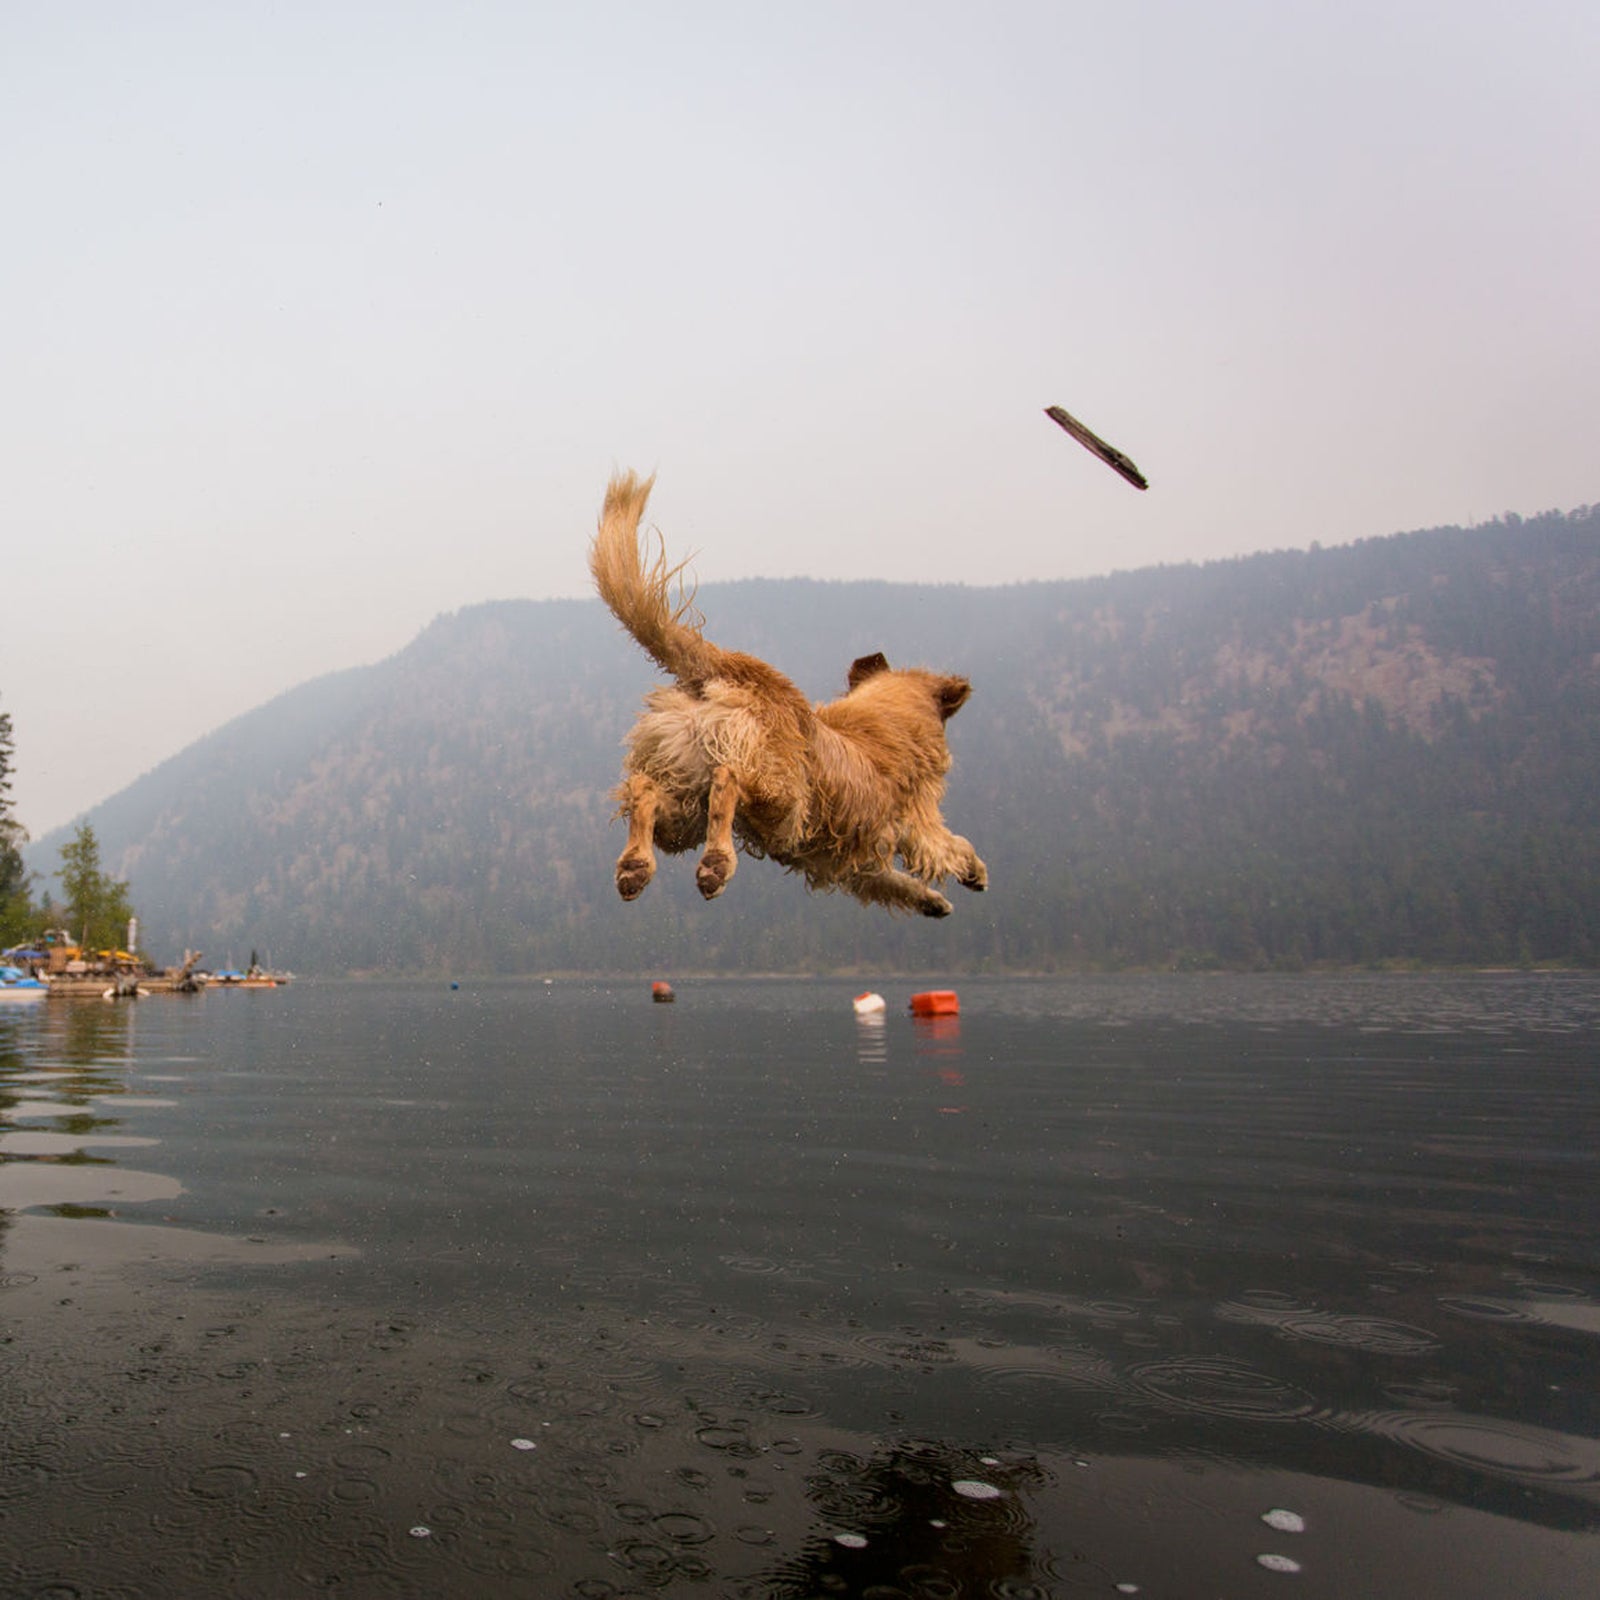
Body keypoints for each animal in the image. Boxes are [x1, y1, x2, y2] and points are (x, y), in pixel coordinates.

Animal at [592, 467, 985, 921]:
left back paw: (635, 866)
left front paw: (933, 901)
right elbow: (952, 845)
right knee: (729, 779)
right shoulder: (920, 823)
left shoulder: (860, 864)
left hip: (683, 801)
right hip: (780, 798)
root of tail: (734, 669)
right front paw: (974, 871)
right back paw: (716, 864)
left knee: (646, 789)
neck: (890, 712)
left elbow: (893, 880)